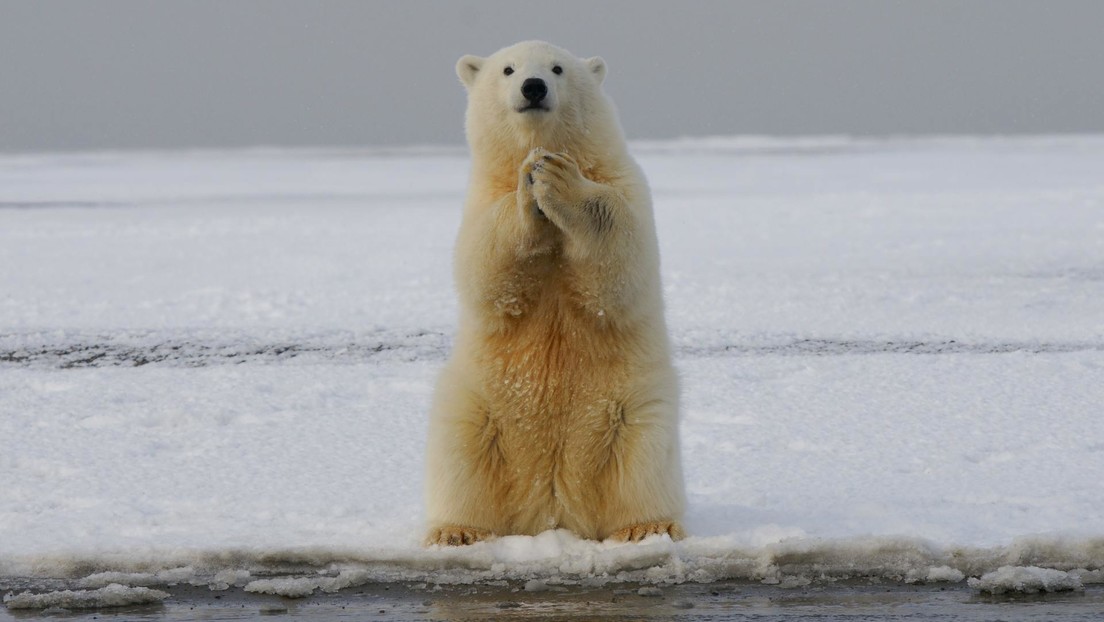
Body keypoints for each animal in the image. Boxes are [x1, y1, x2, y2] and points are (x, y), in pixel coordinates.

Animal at [421, 40, 680, 545]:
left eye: (558, 68)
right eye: (508, 69)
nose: (533, 86)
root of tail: (552, 510)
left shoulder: (624, 182)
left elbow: (621, 258)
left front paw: (558, 178)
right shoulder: (480, 198)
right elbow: (486, 267)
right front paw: (530, 184)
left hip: (632, 409)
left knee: (642, 463)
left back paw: (646, 527)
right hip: (478, 408)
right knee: (461, 457)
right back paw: (457, 531)